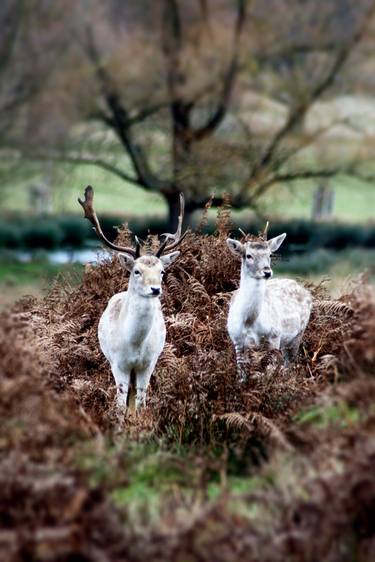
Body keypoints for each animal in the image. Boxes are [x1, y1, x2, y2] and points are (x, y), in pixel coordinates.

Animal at [78, 186, 187, 410]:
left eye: (162, 271)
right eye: (137, 271)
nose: (155, 289)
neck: (134, 345)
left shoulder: (148, 364)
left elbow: (141, 403)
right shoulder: (118, 364)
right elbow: (121, 405)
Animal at [228, 221, 312, 378]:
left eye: (270, 254)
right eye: (248, 255)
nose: (267, 272)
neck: (249, 321)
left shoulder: (274, 335)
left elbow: (269, 373)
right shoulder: (236, 339)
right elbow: (242, 376)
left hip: (298, 333)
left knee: (290, 362)